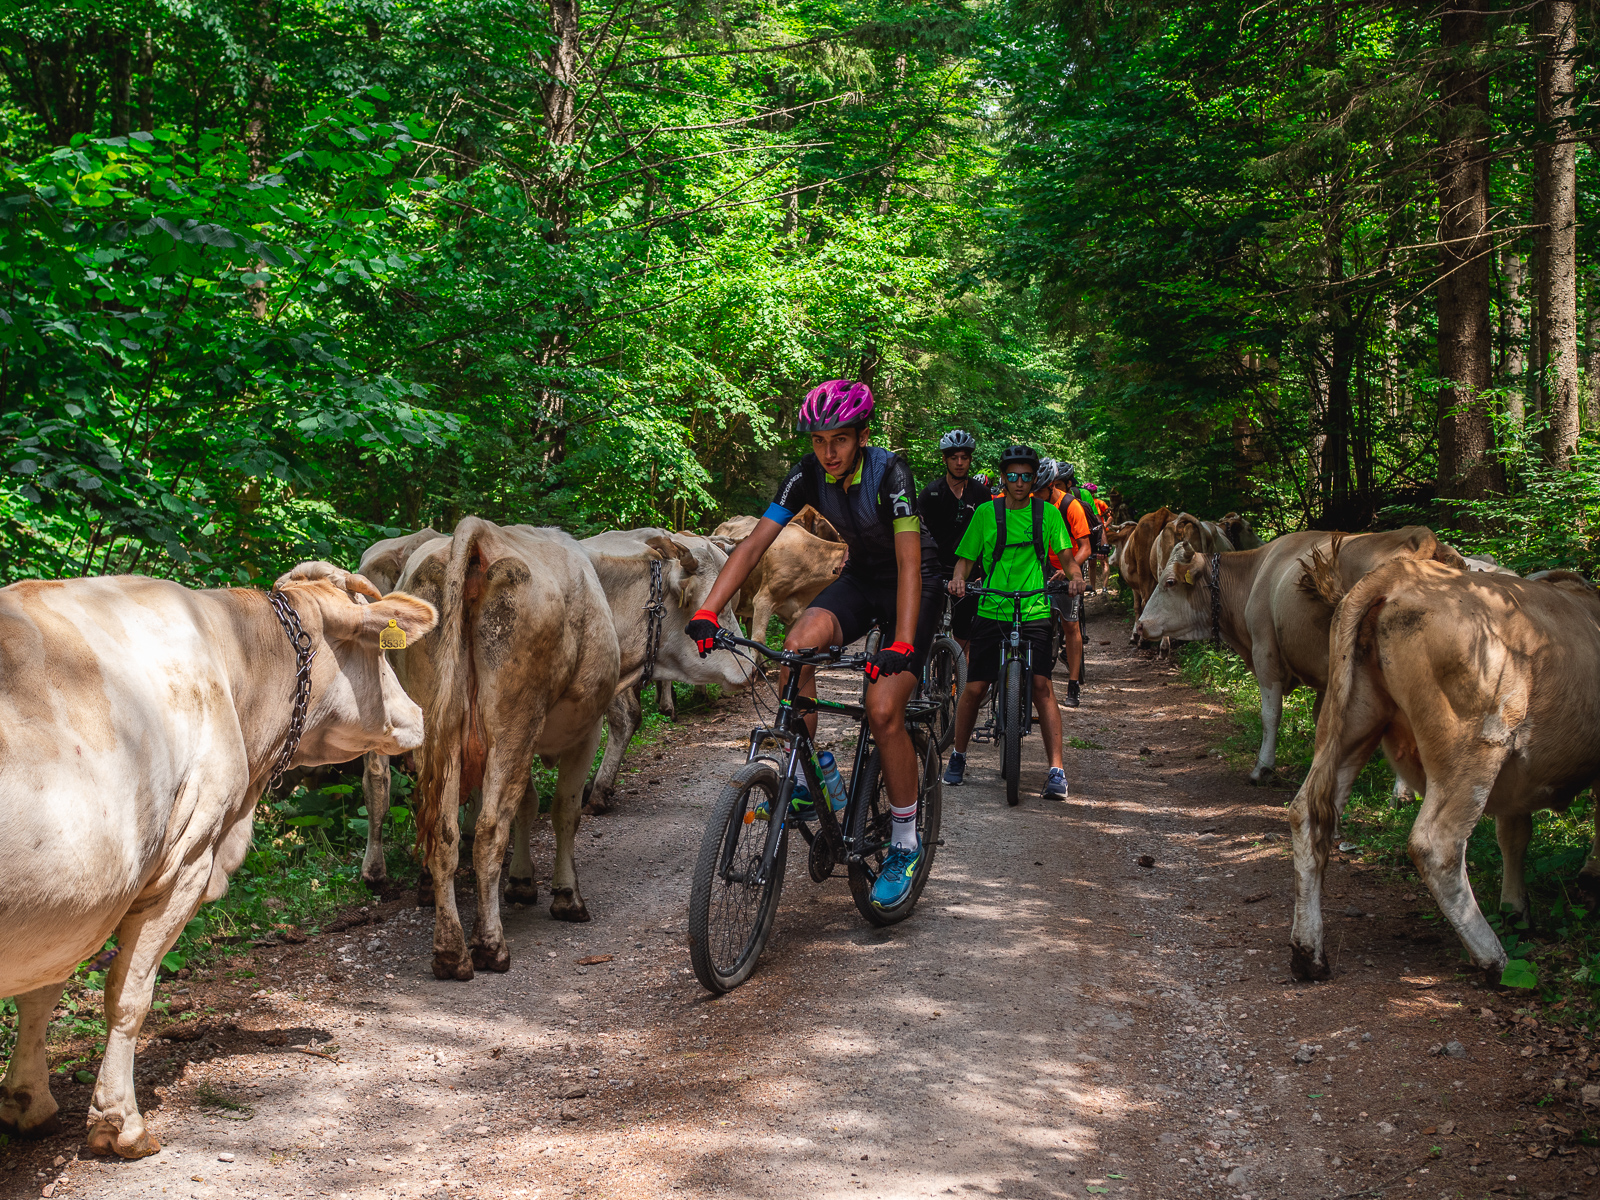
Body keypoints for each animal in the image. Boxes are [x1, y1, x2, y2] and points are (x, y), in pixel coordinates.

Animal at [0, 569, 438, 1158]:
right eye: (380, 654)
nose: (418, 714)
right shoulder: (184, 863)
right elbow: (128, 995)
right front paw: (120, 1122)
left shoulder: (73, 900)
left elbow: (40, 993)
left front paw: (28, 1102)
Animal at [398, 521, 617, 979]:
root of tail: (479, 534)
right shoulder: (587, 730)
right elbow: (564, 810)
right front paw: (566, 896)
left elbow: (528, 804)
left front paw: (521, 882)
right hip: (515, 719)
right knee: (488, 830)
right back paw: (490, 946)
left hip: (437, 728)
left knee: (444, 831)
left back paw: (450, 952)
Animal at [1126, 531, 1465, 784]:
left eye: (1170, 582)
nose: (1141, 625)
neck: (1252, 576)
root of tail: (1417, 535)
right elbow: (1321, 718)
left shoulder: (1265, 652)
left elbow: (1270, 714)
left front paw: (1263, 767)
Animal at [1286, 560, 1600, 979]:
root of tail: (1400, 573)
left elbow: (1514, 834)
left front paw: (1516, 910)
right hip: (1475, 747)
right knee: (1437, 844)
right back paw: (1493, 959)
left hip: (1351, 721)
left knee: (1307, 815)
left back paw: (1309, 954)